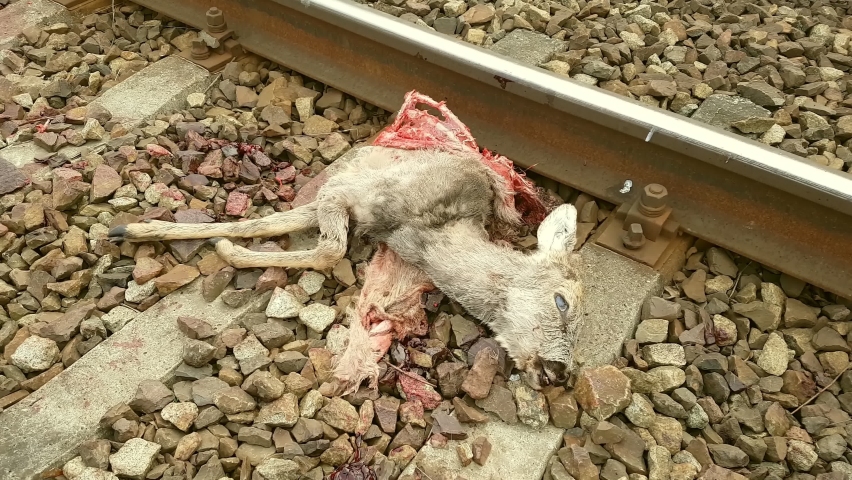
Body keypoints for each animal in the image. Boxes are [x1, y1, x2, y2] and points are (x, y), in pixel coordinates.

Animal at [108, 92, 584, 394]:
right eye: (562, 302)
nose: (560, 373)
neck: (430, 231)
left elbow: (294, 233)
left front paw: (217, 245)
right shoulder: (349, 191)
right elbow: (319, 244)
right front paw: (189, 240)